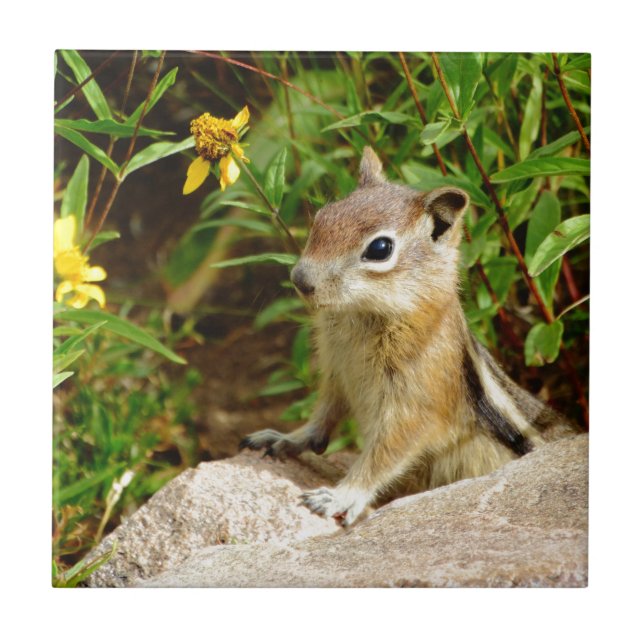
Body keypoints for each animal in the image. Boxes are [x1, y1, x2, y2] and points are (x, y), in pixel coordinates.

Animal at [240, 146, 577, 526]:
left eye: (380, 248)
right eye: (323, 217)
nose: (300, 280)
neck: (363, 316)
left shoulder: (416, 403)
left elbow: (385, 453)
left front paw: (342, 495)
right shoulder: (337, 373)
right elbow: (323, 414)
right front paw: (286, 437)